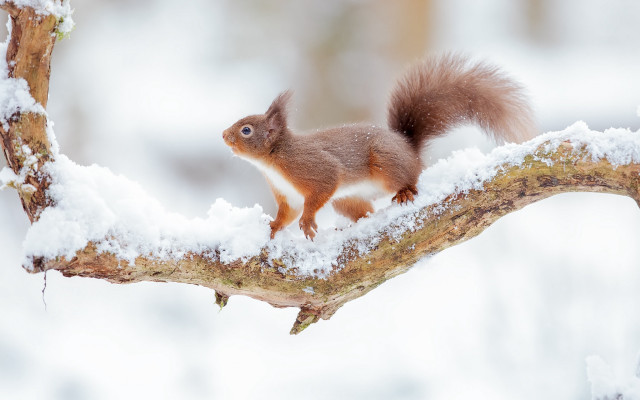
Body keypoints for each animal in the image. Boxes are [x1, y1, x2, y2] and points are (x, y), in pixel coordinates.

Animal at [222, 54, 536, 240]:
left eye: (246, 130)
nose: (224, 135)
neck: (273, 162)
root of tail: (409, 148)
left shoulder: (312, 167)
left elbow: (323, 186)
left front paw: (308, 221)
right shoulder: (287, 195)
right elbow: (287, 213)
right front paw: (274, 226)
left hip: (386, 162)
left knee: (409, 180)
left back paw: (405, 192)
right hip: (347, 199)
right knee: (365, 212)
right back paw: (354, 224)